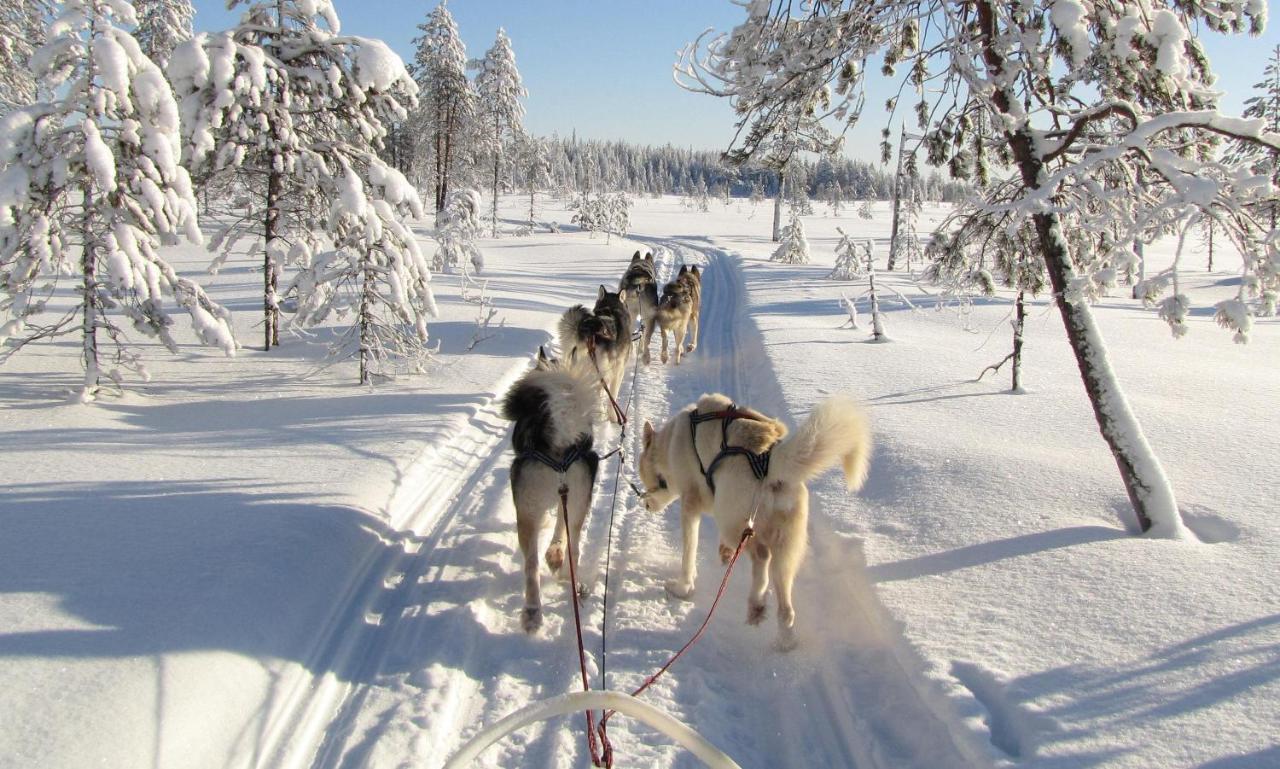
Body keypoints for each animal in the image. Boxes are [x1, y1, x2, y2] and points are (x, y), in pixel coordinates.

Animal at [496, 348, 601, 629]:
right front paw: (555, 551)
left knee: (531, 566)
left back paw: (532, 610)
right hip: (578, 501)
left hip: (528, 510)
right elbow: (560, 529)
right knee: (573, 545)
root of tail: (560, 443)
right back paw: (563, 577)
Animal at [560, 285, 634, 422]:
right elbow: (613, 396)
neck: (610, 309)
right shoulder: (618, 371)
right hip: (600, 372)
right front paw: (613, 416)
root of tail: (589, 334)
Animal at [640, 388, 870, 647]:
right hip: (783, 547)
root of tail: (768, 458)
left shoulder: (691, 506)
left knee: (761, 556)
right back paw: (781, 635)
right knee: (784, 602)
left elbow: (688, 554)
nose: (644, 502)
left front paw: (683, 587)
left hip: (732, 522)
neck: (670, 442)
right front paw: (723, 553)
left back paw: (757, 602)